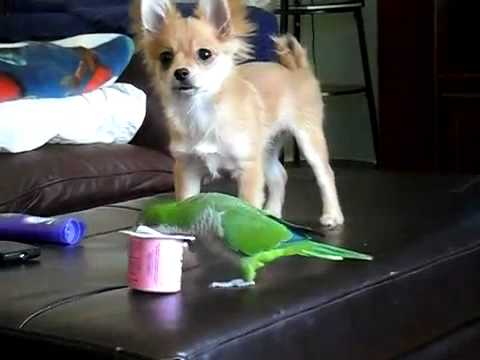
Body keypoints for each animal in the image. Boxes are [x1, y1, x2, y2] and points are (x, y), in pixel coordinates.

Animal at [133, 0, 344, 225]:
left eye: (204, 54)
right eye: (166, 57)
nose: (180, 72)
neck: (202, 110)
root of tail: (297, 70)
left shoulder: (248, 168)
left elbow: (249, 205)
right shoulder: (186, 168)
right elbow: (186, 202)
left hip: (308, 139)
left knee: (325, 175)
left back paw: (332, 215)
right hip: (266, 148)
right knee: (280, 175)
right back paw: (272, 211)